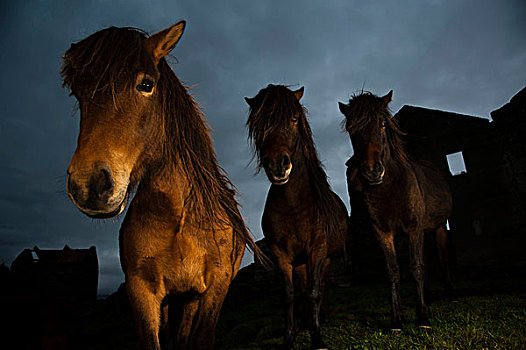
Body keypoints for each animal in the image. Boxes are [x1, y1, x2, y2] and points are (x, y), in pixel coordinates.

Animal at [60, 21, 262, 348]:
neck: (178, 216)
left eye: (146, 84)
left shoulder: (214, 288)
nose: (89, 185)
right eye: (78, 93)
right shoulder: (142, 290)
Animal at [248, 85, 350, 350]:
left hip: (323, 259)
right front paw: (290, 337)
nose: (277, 165)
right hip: (301, 263)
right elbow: (288, 295)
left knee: (319, 288)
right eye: (258, 123)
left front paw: (317, 338)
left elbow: (314, 293)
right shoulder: (280, 253)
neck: (294, 205)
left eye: (294, 119)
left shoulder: (318, 249)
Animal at [340, 90, 456, 330]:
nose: (372, 171)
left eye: (383, 123)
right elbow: (393, 270)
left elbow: (417, 266)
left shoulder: (414, 227)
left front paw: (423, 317)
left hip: (439, 227)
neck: (390, 187)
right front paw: (397, 321)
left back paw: (451, 294)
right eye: (351, 129)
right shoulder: (382, 232)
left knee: (442, 259)